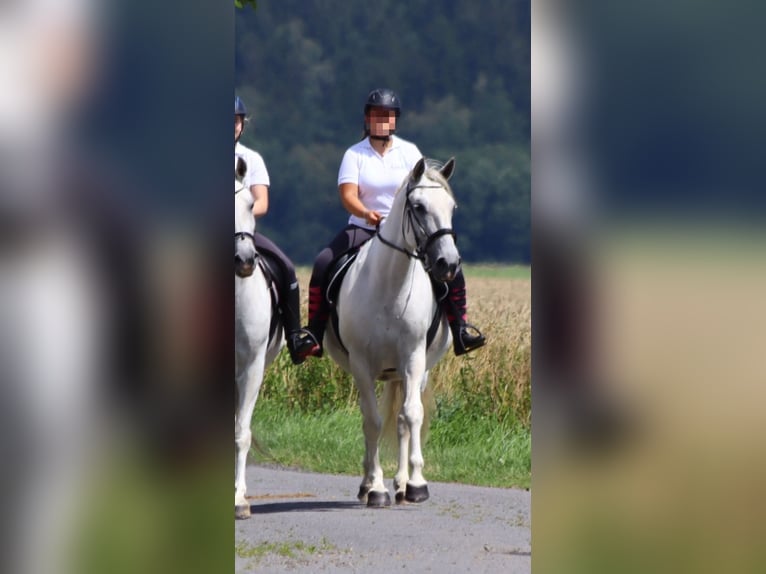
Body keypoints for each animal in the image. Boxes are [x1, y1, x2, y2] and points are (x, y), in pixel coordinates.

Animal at [326, 158, 462, 508]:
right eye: (419, 207)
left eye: (452, 207)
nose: (448, 264)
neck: (391, 285)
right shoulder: (361, 364)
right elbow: (372, 422)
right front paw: (375, 488)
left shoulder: (413, 360)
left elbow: (412, 416)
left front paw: (416, 484)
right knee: (370, 418)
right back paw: (367, 485)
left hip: (409, 372)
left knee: (401, 420)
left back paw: (401, 484)